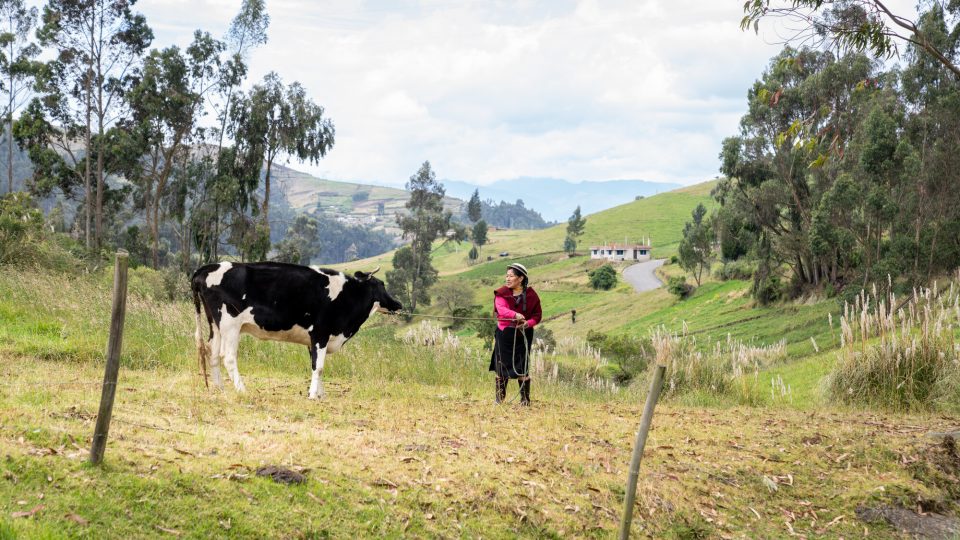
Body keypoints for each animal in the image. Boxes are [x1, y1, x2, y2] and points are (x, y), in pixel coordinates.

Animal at [191, 260, 402, 398]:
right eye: (381, 285)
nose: (398, 304)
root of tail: (207, 268)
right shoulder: (321, 333)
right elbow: (319, 366)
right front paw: (313, 395)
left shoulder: (313, 340)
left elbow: (315, 365)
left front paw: (320, 393)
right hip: (230, 325)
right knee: (228, 357)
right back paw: (242, 390)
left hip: (215, 325)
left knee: (212, 354)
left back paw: (220, 389)